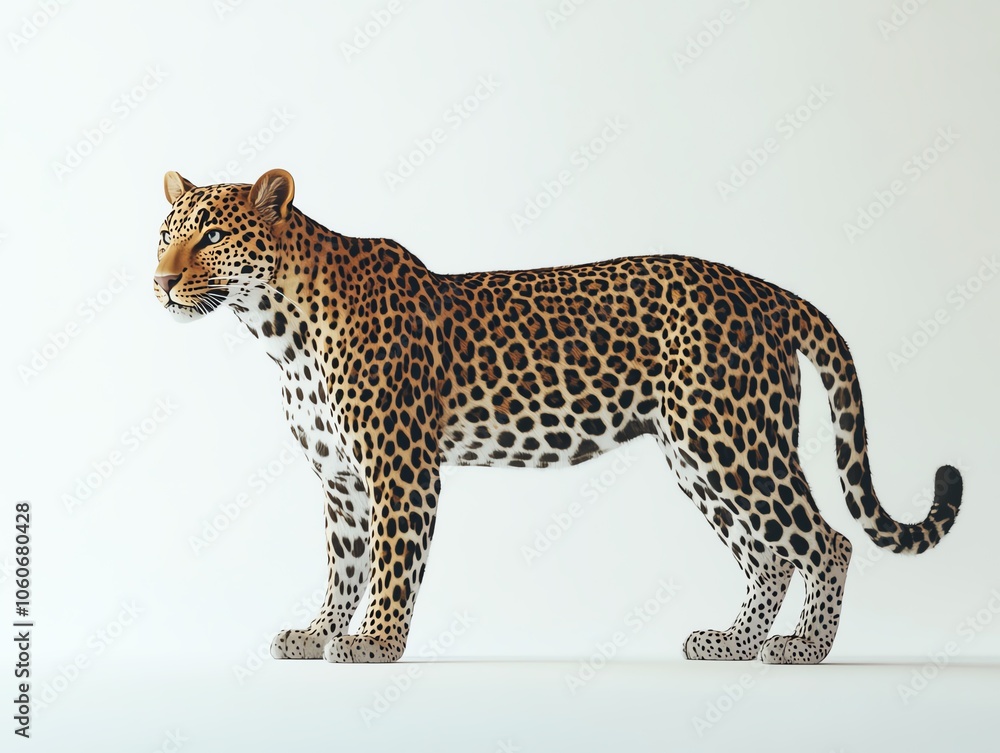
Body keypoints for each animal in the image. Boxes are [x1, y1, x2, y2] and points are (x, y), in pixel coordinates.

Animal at [153, 168, 962, 665]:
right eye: (165, 234)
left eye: (213, 236)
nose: (159, 282)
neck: (278, 331)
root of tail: (767, 290)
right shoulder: (343, 480)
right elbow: (342, 565)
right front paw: (318, 632)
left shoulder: (400, 469)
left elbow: (389, 564)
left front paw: (375, 644)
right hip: (697, 454)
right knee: (767, 553)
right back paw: (732, 642)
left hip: (732, 439)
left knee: (826, 541)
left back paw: (805, 649)